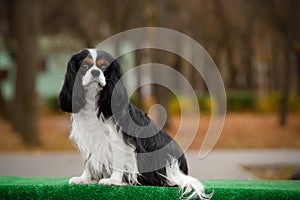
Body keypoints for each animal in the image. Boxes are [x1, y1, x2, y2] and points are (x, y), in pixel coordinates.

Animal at [56, 48, 211, 200]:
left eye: (104, 67)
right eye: (85, 66)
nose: (95, 72)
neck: (94, 100)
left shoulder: (118, 140)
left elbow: (118, 162)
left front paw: (113, 180)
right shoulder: (89, 138)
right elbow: (88, 162)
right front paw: (84, 179)